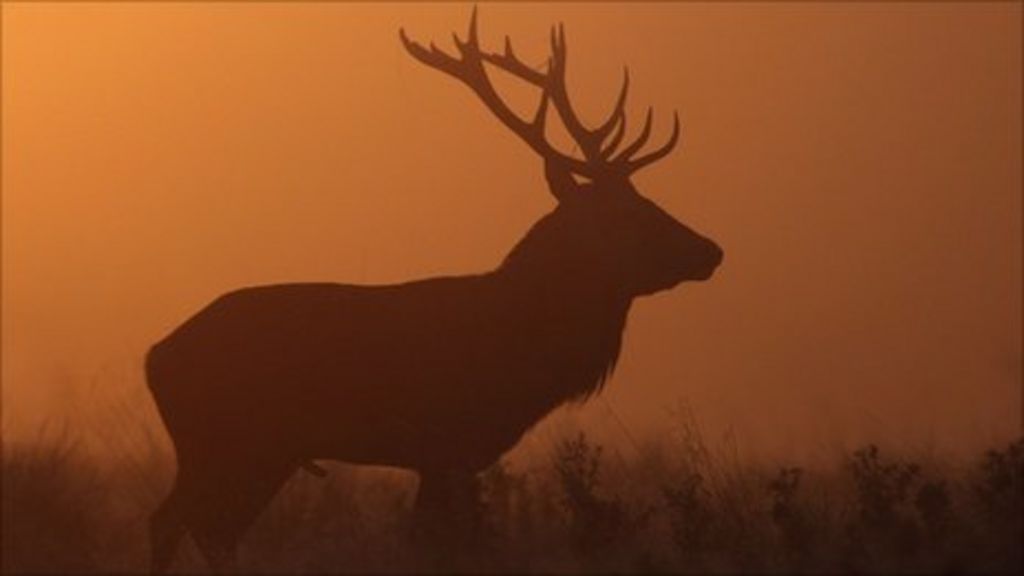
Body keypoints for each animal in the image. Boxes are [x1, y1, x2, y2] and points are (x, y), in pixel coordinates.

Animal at [145, 9, 722, 573]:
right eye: (627, 213)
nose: (711, 250)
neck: (523, 345)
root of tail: (155, 358)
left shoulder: (447, 455)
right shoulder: (448, 441)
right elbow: (442, 543)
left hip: (264, 451)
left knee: (211, 529)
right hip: (224, 441)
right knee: (174, 520)